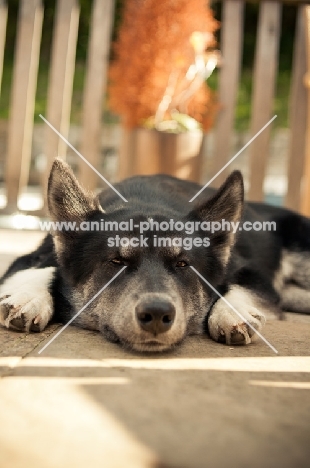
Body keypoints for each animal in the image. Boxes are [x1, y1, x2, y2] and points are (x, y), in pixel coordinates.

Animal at [0, 158, 310, 352]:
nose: (158, 314)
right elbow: (42, 268)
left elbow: (241, 286)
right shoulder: (33, 257)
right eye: (116, 262)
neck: (146, 199)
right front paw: (29, 297)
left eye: (183, 264)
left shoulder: (252, 274)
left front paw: (230, 311)